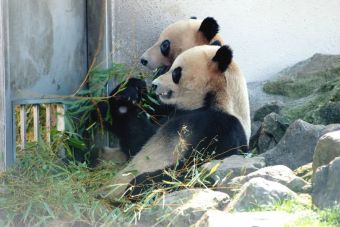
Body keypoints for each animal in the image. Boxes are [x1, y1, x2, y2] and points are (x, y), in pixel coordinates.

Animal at [99, 44, 248, 200]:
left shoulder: (224, 126)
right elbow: (138, 140)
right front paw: (128, 93)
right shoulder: (171, 114)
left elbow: (199, 165)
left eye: (176, 72)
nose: (154, 85)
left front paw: (141, 182)